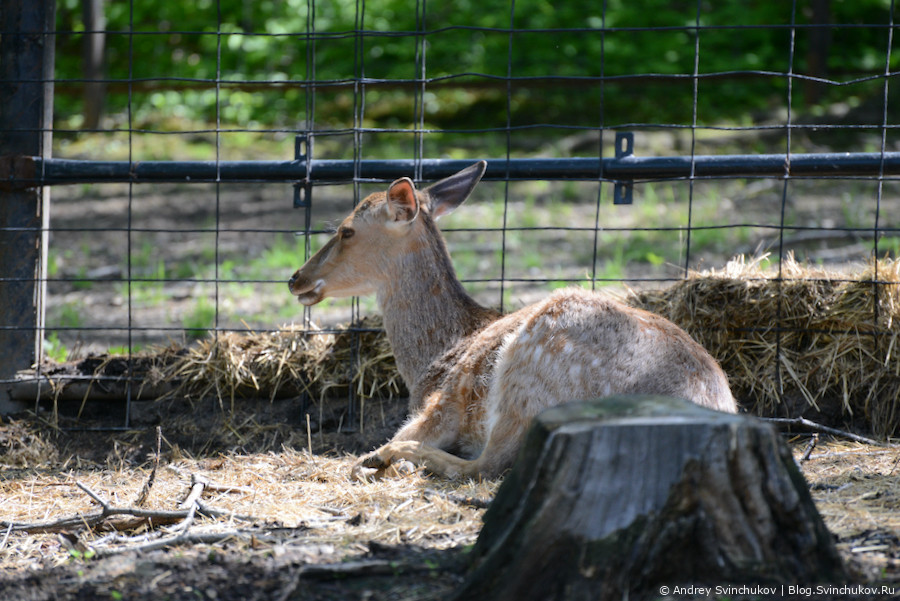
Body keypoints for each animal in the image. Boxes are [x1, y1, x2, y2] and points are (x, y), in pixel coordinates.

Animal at [288, 162, 740, 480]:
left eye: (347, 231)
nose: (296, 278)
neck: (435, 356)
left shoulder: (442, 404)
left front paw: (381, 458)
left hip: (533, 366)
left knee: (489, 464)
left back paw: (389, 457)